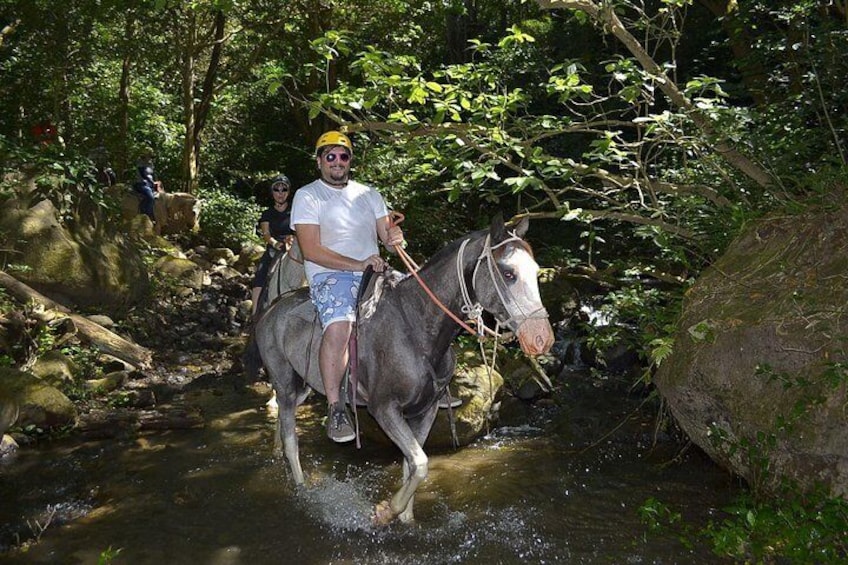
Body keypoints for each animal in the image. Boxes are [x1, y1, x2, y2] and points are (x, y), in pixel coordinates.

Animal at [252, 216, 556, 524]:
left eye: (535, 270)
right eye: (508, 273)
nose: (541, 338)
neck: (416, 327)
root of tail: (272, 308)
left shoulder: (426, 411)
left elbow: (412, 465)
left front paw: (406, 518)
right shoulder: (385, 409)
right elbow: (420, 463)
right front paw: (386, 511)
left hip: (302, 386)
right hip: (285, 384)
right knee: (291, 439)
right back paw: (302, 487)